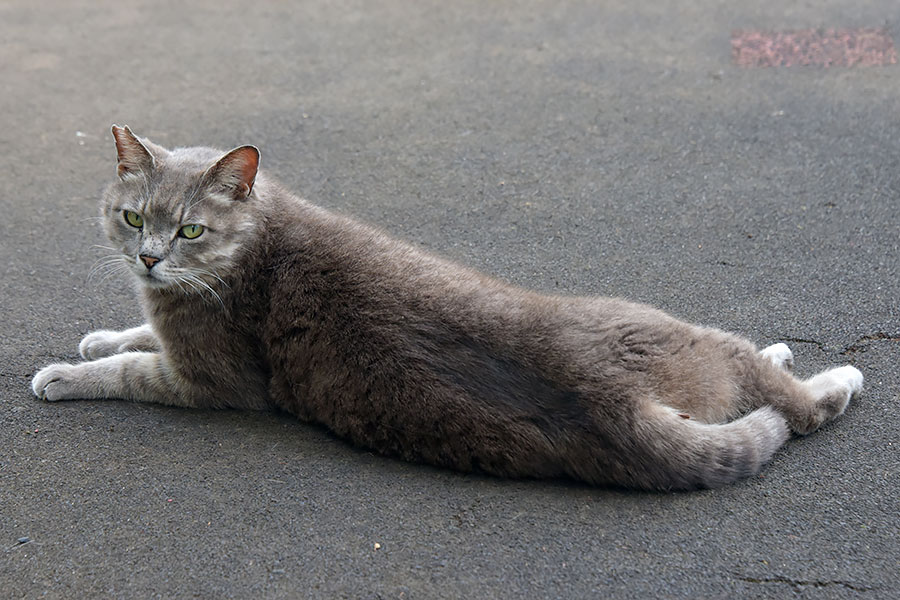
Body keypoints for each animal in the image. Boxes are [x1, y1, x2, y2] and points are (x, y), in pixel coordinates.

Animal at [31, 126, 864, 492]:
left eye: (190, 230)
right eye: (134, 218)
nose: (148, 259)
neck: (252, 242)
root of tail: (612, 404)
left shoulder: (213, 382)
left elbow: (134, 367)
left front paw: (68, 371)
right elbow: (136, 338)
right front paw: (99, 336)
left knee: (799, 405)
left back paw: (827, 372)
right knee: (777, 394)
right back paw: (794, 362)